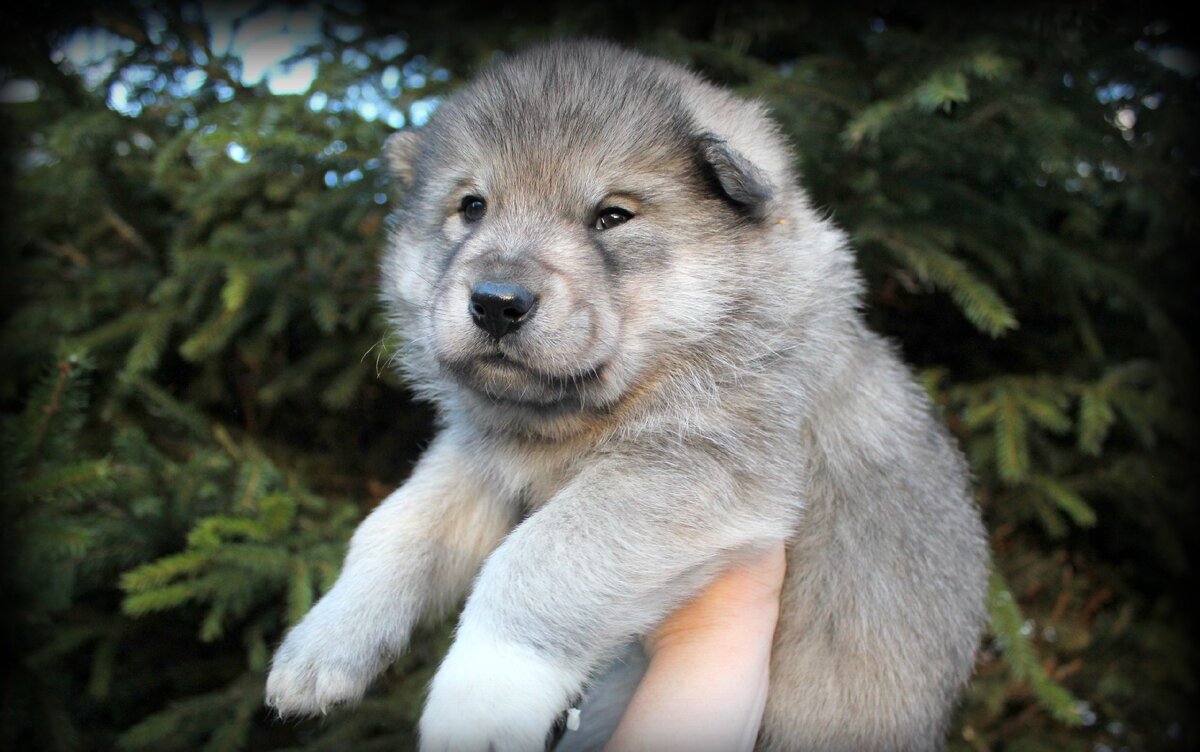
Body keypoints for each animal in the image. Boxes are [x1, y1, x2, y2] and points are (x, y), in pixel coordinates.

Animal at [267, 42, 988, 752]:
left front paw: (479, 698)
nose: (496, 303)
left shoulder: (691, 468)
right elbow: (394, 527)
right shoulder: (479, 463)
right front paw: (324, 643)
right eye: (472, 206)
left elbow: (530, 564)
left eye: (612, 216)